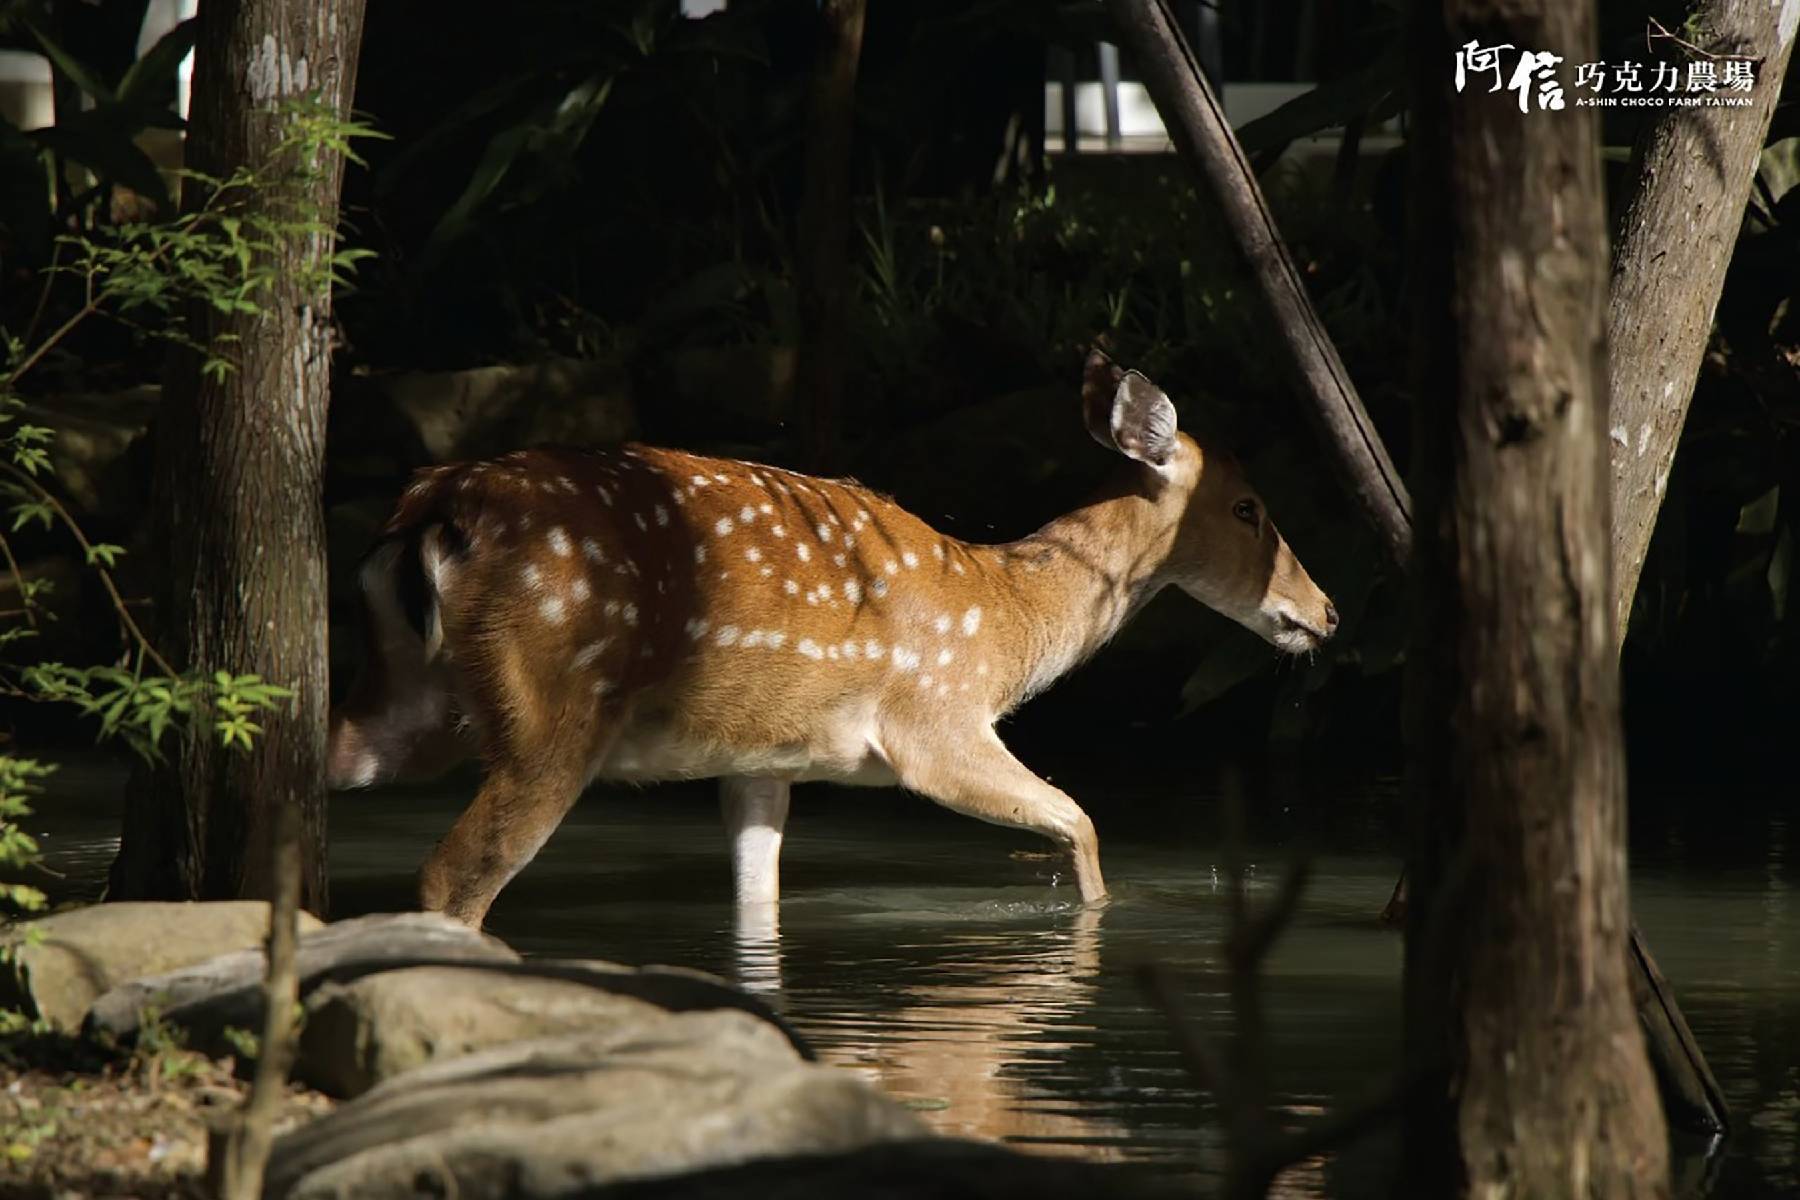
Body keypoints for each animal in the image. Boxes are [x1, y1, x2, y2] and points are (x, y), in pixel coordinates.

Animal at [327, 352, 1339, 928]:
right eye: (1249, 508)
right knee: (451, 876)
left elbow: (757, 897)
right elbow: (1079, 820)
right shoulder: (937, 725)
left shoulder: (761, 759)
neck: (1007, 624)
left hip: (402, 702)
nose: (1327, 611)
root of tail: (432, 505)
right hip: (552, 702)